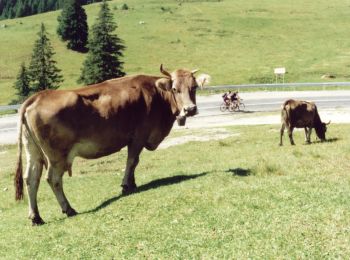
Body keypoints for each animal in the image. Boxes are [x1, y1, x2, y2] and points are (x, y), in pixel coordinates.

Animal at [15, 65, 200, 225]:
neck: (156, 95)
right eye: (175, 89)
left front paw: (132, 184)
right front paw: (126, 186)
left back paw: (36, 217)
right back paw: (68, 209)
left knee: (31, 178)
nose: (190, 109)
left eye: (194, 87)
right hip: (57, 155)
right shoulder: (138, 136)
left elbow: (134, 163)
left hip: (33, 152)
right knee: (53, 179)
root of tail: (37, 97)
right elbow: (132, 161)